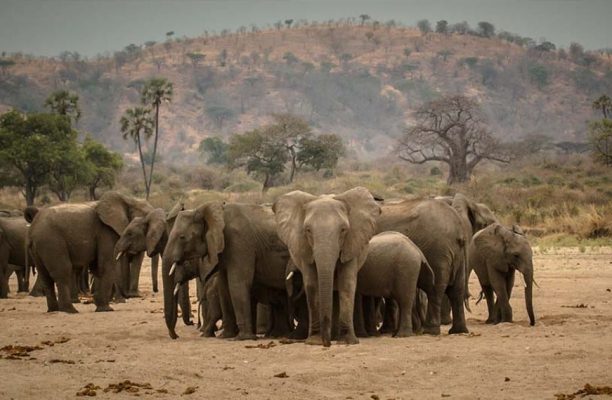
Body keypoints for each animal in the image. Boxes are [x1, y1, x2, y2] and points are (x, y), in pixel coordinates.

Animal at [163, 202, 292, 340]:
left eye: (182, 237)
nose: (176, 336)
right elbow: (224, 287)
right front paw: (226, 336)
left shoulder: (239, 242)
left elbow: (237, 284)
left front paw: (243, 338)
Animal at [274, 188, 380, 346]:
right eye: (308, 230)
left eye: (343, 230)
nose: (327, 344)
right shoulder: (305, 248)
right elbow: (312, 284)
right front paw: (314, 341)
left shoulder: (351, 244)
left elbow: (346, 283)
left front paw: (348, 341)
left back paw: (337, 337)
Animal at [378, 199, 468, 334]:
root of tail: (458, 227)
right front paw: (386, 330)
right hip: (457, 254)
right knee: (457, 289)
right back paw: (458, 331)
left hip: (437, 251)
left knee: (434, 288)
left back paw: (430, 330)